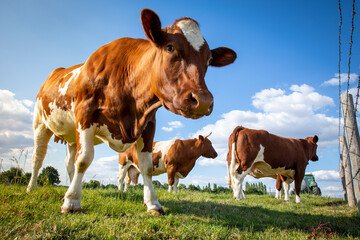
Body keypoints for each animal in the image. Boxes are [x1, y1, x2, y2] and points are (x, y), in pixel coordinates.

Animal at [26, 7, 238, 216]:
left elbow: (147, 168)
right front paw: (71, 202)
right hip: (40, 125)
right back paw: (32, 187)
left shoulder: (148, 124)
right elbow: (84, 159)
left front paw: (153, 204)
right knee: (39, 158)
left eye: (209, 59)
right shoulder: (85, 115)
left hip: (71, 135)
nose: (203, 101)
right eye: (170, 47)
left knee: (70, 162)